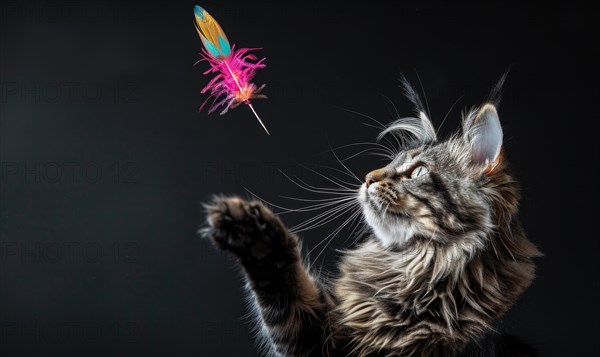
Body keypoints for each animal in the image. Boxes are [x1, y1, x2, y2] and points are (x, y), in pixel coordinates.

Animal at [204, 80, 540, 356]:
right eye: (390, 163)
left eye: (417, 171)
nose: (367, 178)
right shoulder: (319, 339)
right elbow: (285, 293)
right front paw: (253, 235)